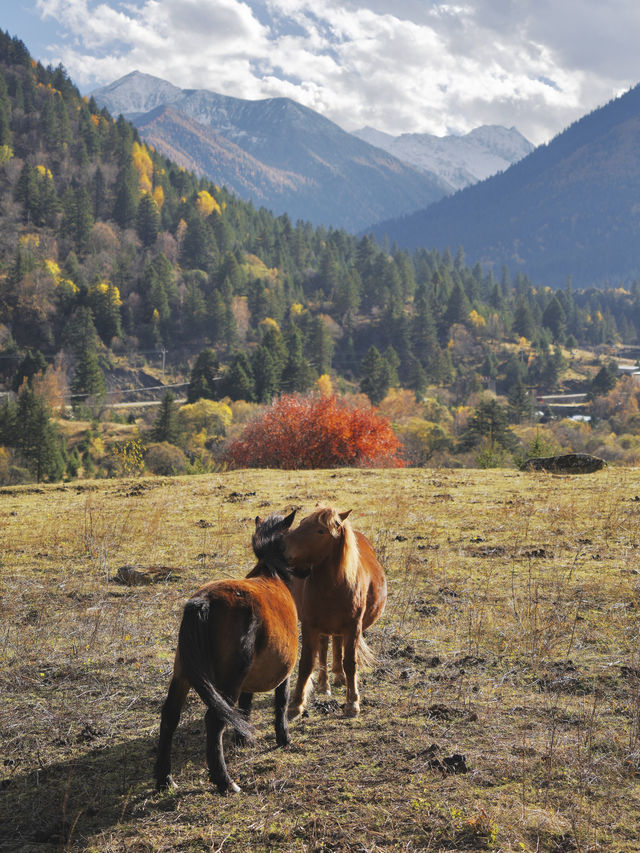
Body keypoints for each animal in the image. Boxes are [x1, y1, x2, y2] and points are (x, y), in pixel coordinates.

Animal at [154, 506, 304, 792]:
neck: (272, 574)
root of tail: (203, 602)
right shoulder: (285, 672)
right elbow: (281, 703)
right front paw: (283, 738)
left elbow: (244, 706)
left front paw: (243, 738)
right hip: (227, 680)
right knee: (214, 721)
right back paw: (224, 782)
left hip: (183, 674)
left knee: (169, 718)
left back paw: (164, 780)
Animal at [284, 506, 384, 720]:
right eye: (301, 522)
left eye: (321, 531)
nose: (283, 550)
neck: (333, 586)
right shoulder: (310, 626)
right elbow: (306, 663)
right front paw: (295, 705)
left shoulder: (353, 626)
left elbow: (351, 663)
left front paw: (352, 703)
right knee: (324, 649)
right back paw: (325, 683)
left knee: (337, 645)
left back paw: (339, 676)